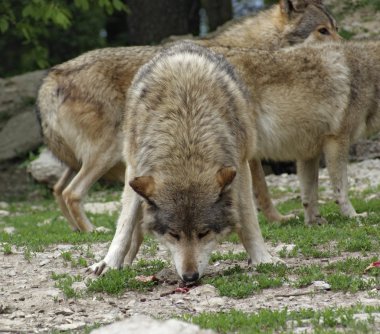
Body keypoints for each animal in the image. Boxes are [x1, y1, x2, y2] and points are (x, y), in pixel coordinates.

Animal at [36, 0, 338, 232]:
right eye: (322, 31)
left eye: (335, 29)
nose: (343, 48)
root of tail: (52, 77)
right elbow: (262, 190)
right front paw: (277, 219)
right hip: (107, 153)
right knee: (71, 193)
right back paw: (92, 230)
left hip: (78, 160)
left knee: (58, 190)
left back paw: (77, 230)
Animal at [88, 42, 274, 282]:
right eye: (173, 234)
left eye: (203, 233)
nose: (190, 277)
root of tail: (183, 44)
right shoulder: (135, 167)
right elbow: (125, 223)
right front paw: (109, 263)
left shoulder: (240, 166)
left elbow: (248, 218)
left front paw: (262, 258)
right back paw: (124, 262)